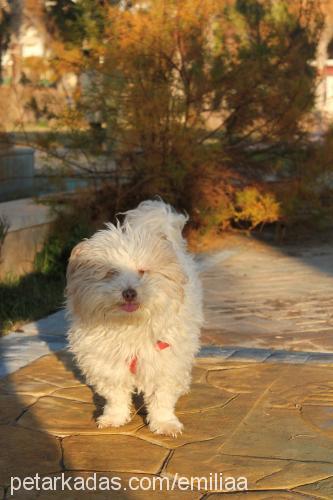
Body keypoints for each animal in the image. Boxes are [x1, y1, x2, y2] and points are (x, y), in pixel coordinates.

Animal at [66, 198, 202, 434]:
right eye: (111, 272)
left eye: (142, 271)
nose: (129, 292)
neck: (130, 324)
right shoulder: (108, 364)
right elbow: (116, 397)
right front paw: (114, 418)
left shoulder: (164, 363)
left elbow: (161, 399)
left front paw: (165, 423)